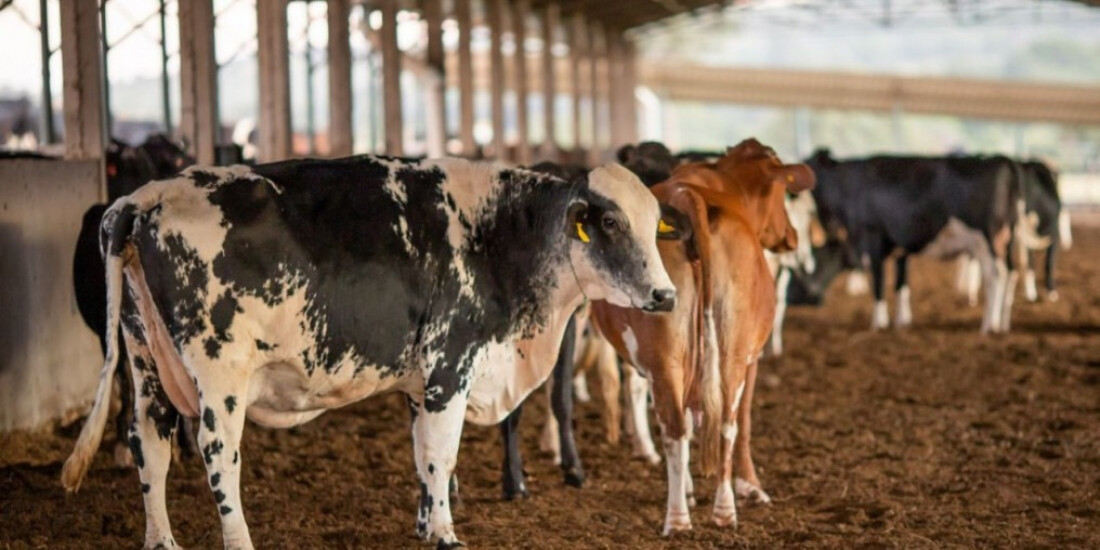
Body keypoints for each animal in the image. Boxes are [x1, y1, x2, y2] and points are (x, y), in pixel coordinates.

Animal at [60, 156, 675, 549]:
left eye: (654, 224)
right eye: (611, 221)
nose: (665, 295)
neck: (497, 235)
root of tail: (144, 196)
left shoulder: (420, 380)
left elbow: (422, 454)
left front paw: (427, 525)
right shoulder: (450, 365)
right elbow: (442, 453)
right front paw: (447, 534)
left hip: (146, 360)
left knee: (150, 444)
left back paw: (161, 541)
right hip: (220, 373)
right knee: (218, 455)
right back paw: (238, 539)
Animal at [592, 141, 814, 534]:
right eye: (780, 194)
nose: (791, 236)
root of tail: (688, 197)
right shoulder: (752, 359)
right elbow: (744, 424)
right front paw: (751, 486)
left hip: (673, 358)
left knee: (689, 426)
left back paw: (700, 512)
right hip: (727, 355)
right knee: (714, 425)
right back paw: (695, 514)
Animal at [805, 150, 1020, 333]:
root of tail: (1000, 159)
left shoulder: (872, 238)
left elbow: (879, 282)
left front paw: (878, 324)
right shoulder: (901, 247)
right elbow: (901, 283)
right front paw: (902, 322)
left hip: (988, 239)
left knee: (995, 276)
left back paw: (988, 325)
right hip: (1007, 239)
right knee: (1011, 272)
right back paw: (1003, 324)